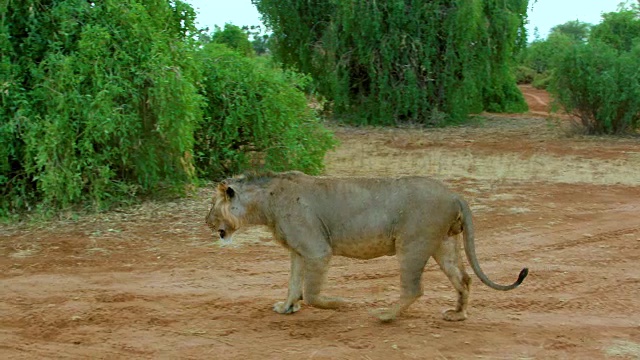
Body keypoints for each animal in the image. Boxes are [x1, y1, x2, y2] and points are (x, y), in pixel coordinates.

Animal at [204, 170, 524, 322]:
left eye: (211, 204)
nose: (206, 222)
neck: (265, 204)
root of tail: (455, 194)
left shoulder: (318, 251)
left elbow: (312, 293)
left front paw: (339, 304)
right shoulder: (298, 251)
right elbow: (293, 284)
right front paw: (285, 308)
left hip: (412, 245)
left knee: (414, 289)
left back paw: (385, 316)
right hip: (444, 244)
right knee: (464, 279)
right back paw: (457, 314)